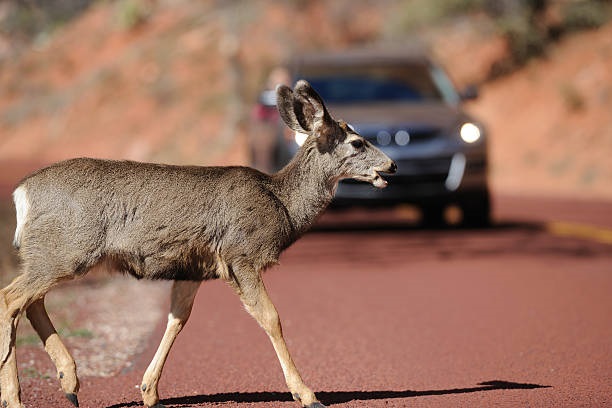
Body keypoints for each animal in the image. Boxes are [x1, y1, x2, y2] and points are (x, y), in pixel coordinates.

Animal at [0, 80, 396, 408]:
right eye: (357, 142)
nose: (391, 166)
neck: (282, 203)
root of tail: (21, 193)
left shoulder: (193, 267)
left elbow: (177, 319)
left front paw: (150, 392)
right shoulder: (240, 254)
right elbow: (271, 317)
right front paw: (307, 394)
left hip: (53, 254)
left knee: (31, 302)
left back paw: (69, 381)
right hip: (66, 250)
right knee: (11, 298)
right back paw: (16, 398)